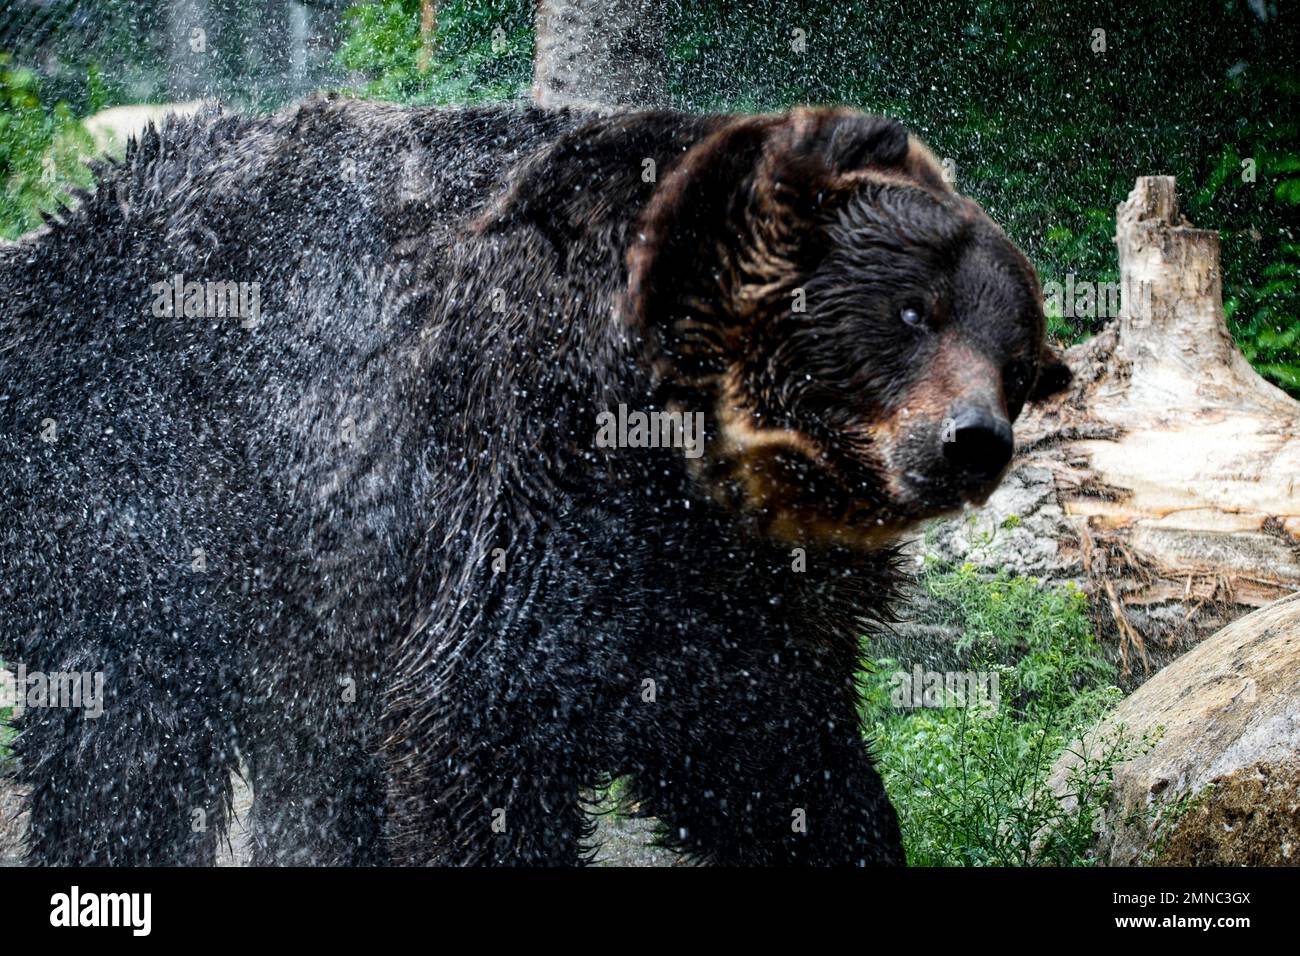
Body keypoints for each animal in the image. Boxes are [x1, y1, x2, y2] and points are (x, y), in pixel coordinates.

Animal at [0, 98, 1066, 868]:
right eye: (913, 313)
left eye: (1016, 357)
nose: (972, 442)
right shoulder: (532, 495)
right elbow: (479, 733)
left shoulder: (745, 610)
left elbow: (781, 765)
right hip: (158, 506)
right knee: (125, 746)